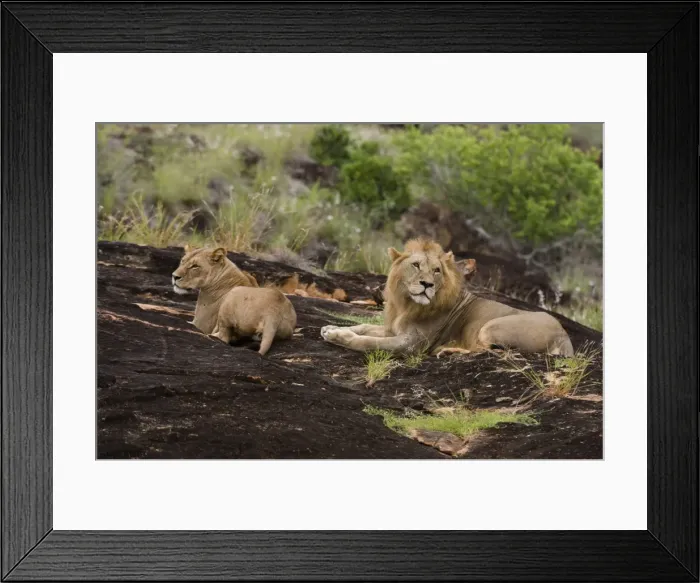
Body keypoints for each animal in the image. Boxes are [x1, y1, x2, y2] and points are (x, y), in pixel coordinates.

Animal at [320, 238, 574, 357]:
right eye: (416, 265)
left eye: (436, 271)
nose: (427, 285)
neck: (405, 305)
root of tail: (564, 335)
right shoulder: (393, 330)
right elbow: (364, 327)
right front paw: (332, 328)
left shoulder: (411, 344)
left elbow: (368, 342)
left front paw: (339, 337)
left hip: (491, 326)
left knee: (492, 351)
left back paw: (448, 351)